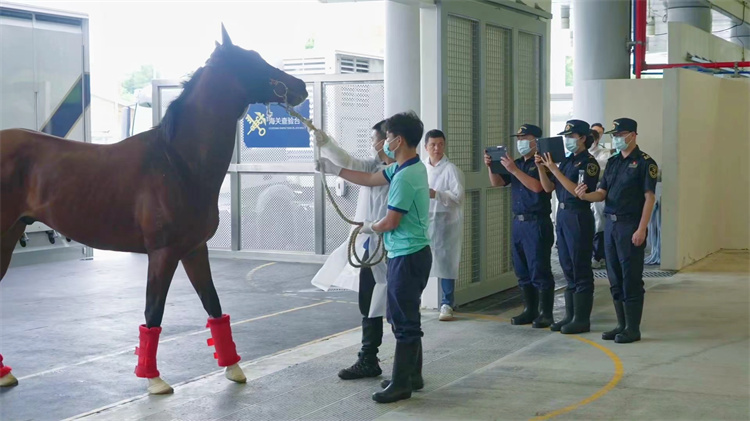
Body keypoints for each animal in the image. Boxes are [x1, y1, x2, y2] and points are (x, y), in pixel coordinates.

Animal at [0, 26, 308, 394]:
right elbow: (153, 312)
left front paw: (233, 367)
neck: (177, 163)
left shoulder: (194, 249)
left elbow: (213, 305)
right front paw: (154, 379)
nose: (300, 86)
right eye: (252, 61)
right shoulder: (162, 253)